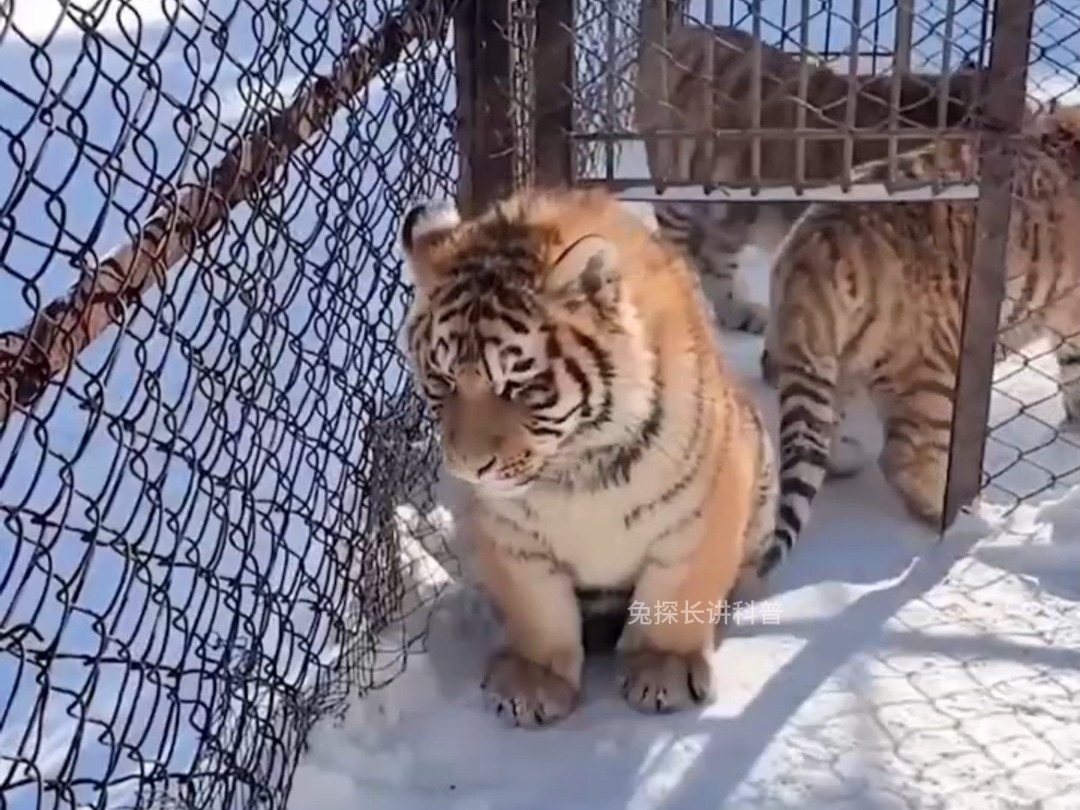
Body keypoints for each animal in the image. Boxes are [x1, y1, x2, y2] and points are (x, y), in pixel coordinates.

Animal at [397, 184, 792, 728]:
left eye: (519, 385)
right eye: (442, 380)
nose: (468, 467)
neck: (576, 469)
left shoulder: (702, 512)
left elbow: (676, 596)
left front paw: (665, 670)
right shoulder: (510, 538)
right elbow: (538, 610)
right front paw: (534, 683)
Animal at [753, 103, 1080, 581]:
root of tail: (816, 242)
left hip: (829, 359)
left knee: (816, 432)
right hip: (933, 373)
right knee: (904, 459)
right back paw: (967, 520)